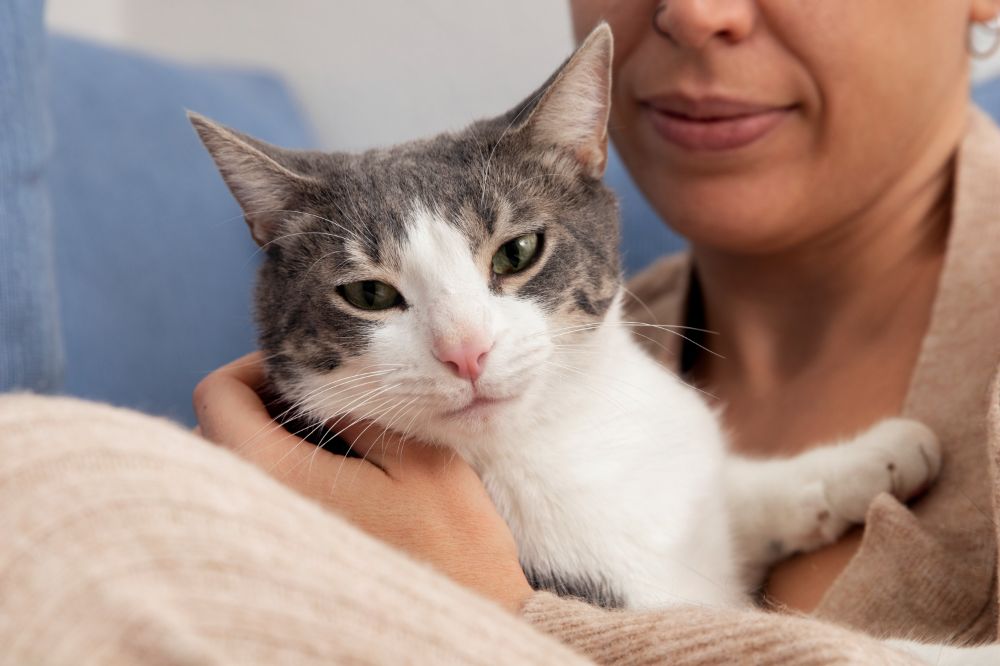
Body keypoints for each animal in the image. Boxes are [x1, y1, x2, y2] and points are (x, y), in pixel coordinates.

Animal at [189, 23, 1000, 660]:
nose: (466, 352)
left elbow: (736, 489)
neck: (560, 436)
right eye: (368, 295)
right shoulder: (612, 600)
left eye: (517, 252)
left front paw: (878, 456)